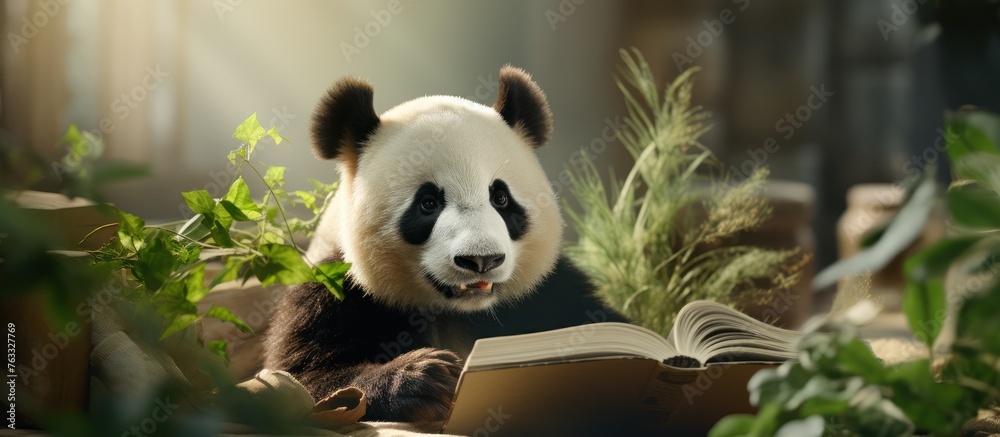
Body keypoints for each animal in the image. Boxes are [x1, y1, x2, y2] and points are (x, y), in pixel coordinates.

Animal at [263, 66, 621, 423]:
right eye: (428, 203)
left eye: (501, 198)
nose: (481, 260)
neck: (457, 312)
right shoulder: (334, 288)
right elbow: (304, 377)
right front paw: (424, 377)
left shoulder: (549, 292)